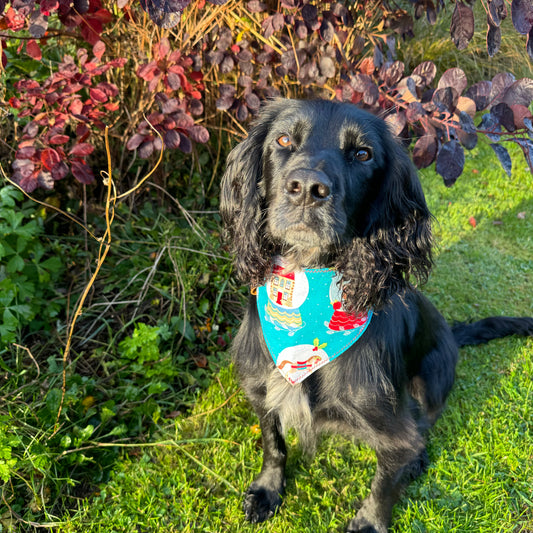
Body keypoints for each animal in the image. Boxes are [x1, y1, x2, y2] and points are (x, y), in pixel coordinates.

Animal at [218, 97, 528, 528]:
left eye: (362, 154)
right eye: (282, 140)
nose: (308, 189)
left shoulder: (393, 428)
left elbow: (385, 480)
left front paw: (370, 521)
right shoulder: (261, 386)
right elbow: (273, 443)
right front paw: (267, 489)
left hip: (430, 377)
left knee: (426, 422)